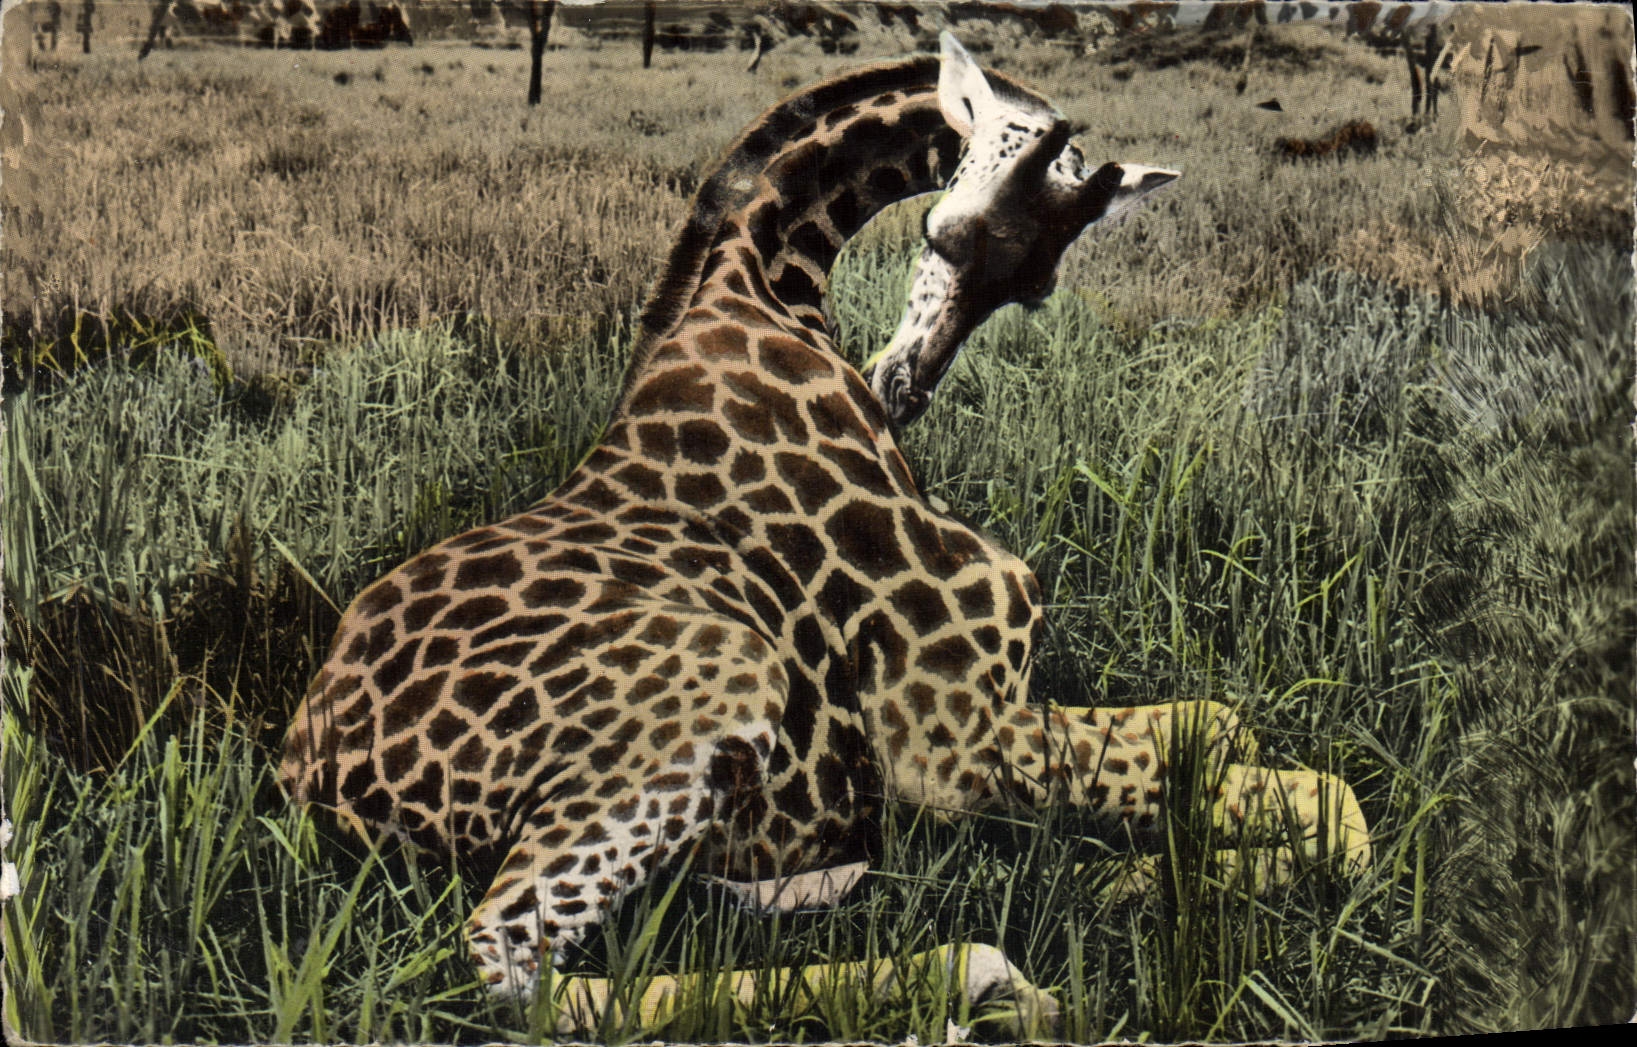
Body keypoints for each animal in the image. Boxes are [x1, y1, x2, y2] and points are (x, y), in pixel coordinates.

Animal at [280, 32, 1371, 1013]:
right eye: (936, 232)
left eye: (1035, 287)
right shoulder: (948, 740)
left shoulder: (999, 709)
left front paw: (1142, 872)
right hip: (715, 680)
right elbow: (1312, 799)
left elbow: (1233, 736)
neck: (767, 290)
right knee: (511, 967)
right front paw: (1140, 877)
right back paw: (980, 977)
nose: (903, 386)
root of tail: (313, 775)